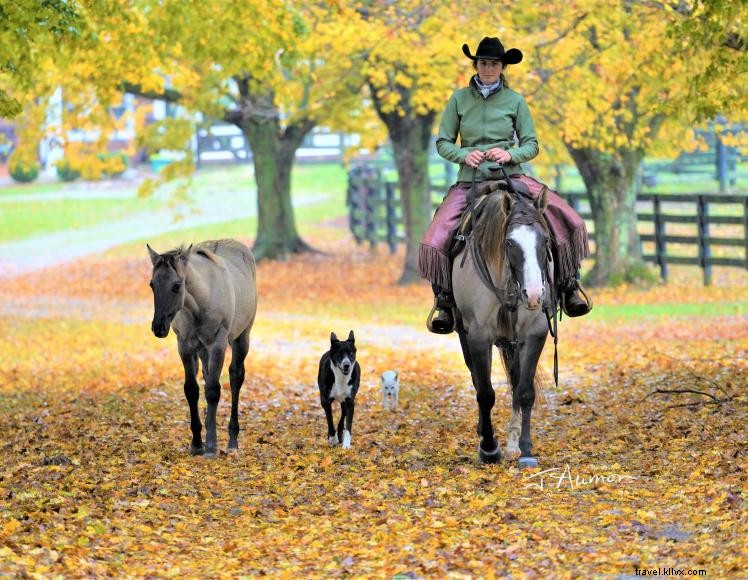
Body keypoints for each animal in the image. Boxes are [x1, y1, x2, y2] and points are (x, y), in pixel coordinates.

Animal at [147, 239, 258, 458]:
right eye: (152, 284)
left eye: (177, 285)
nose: (158, 327)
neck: (199, 305)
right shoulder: (185, 346)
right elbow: (192, 389)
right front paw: (197, 443)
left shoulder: (218, 344)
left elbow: (214, 390)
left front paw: (211, 445)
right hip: (202, 350)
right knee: (207, 377)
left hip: (242, 337)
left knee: (235, 377)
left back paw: (232, 440)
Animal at [452, 186, 552, 466]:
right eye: (509, 243)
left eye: (546, 240)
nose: (534, 295)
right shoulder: (477, 335)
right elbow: (485, 393)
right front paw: (489, 447)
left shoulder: (534, 333)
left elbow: (525, 391)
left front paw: (525, 449)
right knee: (477, 379)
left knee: (516, 380)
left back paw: (513, 440)